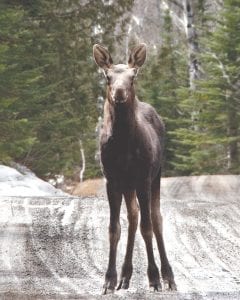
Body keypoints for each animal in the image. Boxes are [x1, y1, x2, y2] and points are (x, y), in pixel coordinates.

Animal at [93, 43, 176, 294]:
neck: (123, 146)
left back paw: (168, 276)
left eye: (133, 76)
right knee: (133, 215)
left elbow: (147, 227)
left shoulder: (143, 178)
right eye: (108, 76)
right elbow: (114, 228)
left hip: (156, 174)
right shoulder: (111, 179)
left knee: (155, 218)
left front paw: (154, 278)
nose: (119, 92)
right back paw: (125, 276)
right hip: (128, 185)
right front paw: (109, 280)